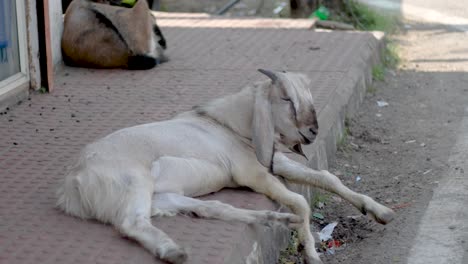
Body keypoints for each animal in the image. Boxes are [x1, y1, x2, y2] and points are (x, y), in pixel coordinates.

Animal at [56, 70, 396, 264]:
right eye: (286, 98)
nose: (313, 131)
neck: (228, 124)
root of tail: (71, 184)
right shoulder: (252, 172)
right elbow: (300, 200)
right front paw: (310, 252)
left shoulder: (275, 161)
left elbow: (327, 178)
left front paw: (381, 211)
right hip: (132, 182)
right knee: (130, 222)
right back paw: (174, 252)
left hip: (162, 196)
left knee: (212, 208)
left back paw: (275, 219)